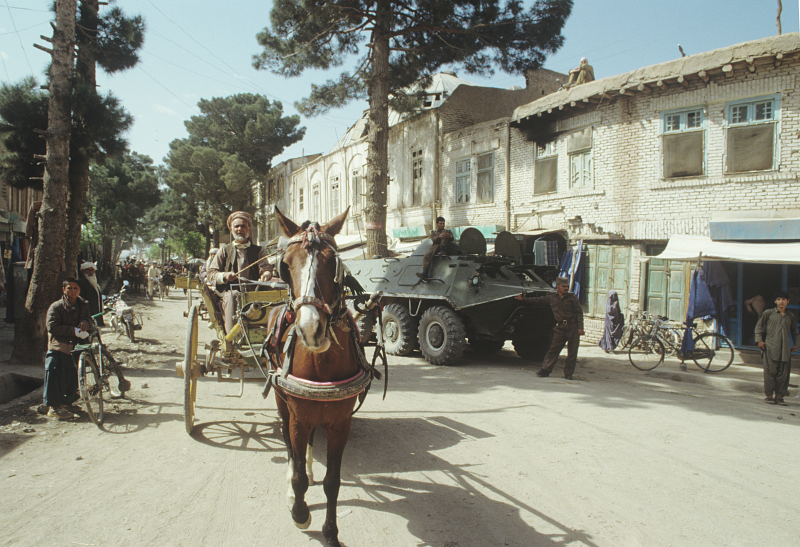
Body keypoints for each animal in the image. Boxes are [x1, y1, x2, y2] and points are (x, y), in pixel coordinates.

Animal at [268, 207, 370, 547]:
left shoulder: (340, 423)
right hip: (283, 402)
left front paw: (331, 533)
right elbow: (297, 471)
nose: (311, 329)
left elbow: (333, 482)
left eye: (332, 263)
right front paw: (300, 512)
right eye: (286, 265)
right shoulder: (298, 417)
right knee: (288, 443)